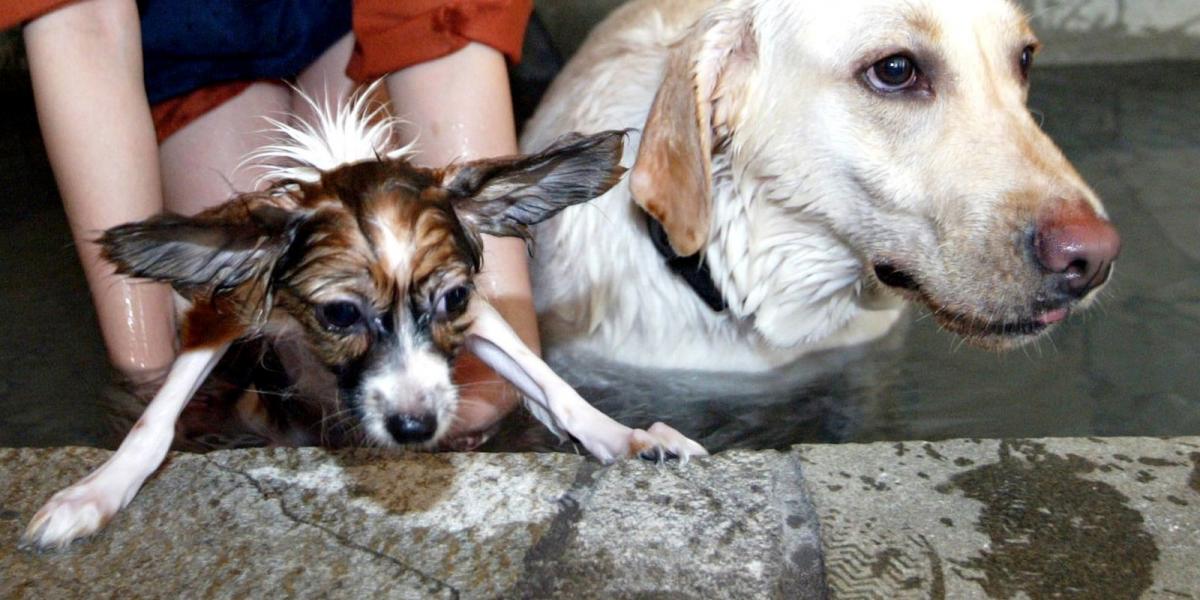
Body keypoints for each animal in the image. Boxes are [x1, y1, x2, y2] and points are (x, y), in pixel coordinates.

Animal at [23, 92, 705, 549]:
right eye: (339, 314)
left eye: (453, 301)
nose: (414, 426)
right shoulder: (228, 307)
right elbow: (155, 421)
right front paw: (95, 492)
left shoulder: (478, 317)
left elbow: (552, 387)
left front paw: (624, 436)